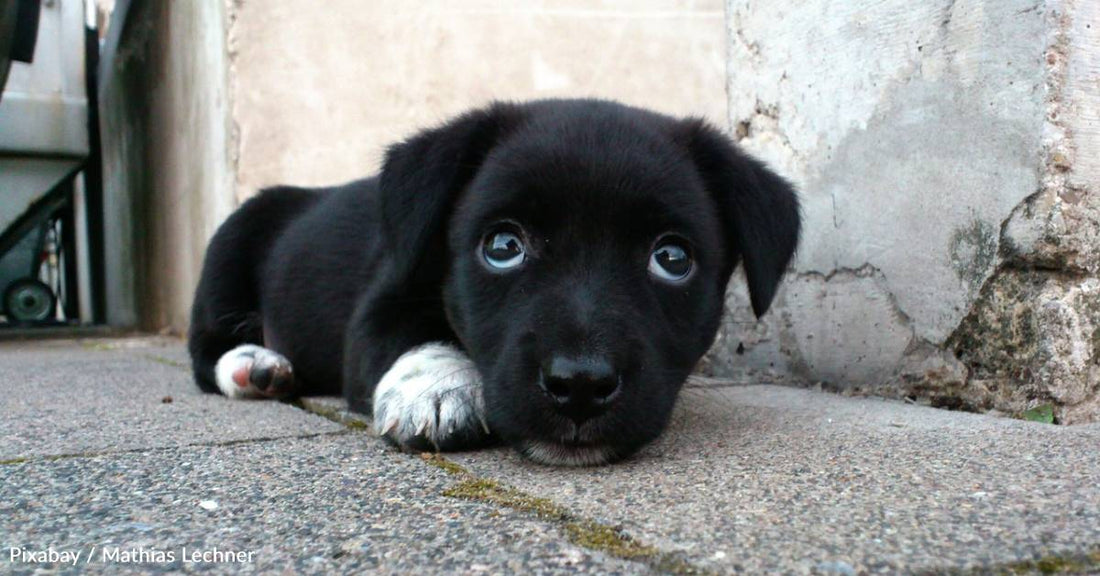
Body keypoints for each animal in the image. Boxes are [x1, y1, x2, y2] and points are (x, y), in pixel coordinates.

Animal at [189, 98, 800, 466]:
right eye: (503, 247)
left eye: (672, 258)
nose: (580, 385)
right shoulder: (378, 307)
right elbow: (415, 335)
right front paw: (437, 389)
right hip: (227, 246)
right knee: (205, 351)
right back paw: (255, 366)